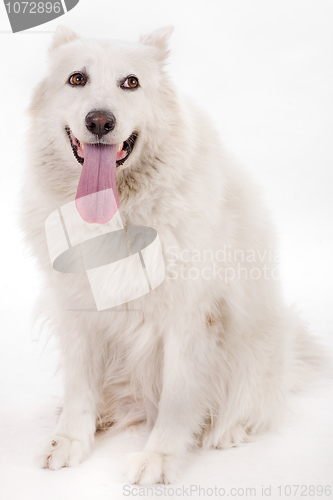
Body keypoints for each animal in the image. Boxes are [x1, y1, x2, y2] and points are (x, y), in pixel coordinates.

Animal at [20, 26, 322, 484]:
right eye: (76, 79)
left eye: (131, 82)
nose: (100, 121)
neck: (120, 213)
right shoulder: (75, 307)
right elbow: (79, 385)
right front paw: (70, 438)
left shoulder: (188, 317)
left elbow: (179, 399)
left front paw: (160, 456)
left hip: (256, 348)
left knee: (255, 404)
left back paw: (228, 430)